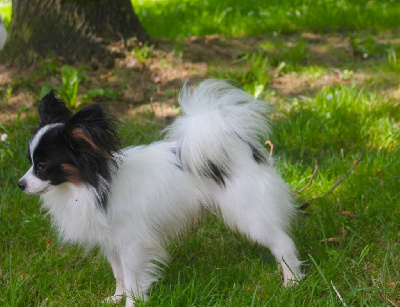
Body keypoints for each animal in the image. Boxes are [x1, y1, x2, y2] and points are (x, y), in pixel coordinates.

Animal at [18, 80, 300, 306]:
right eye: (30, 161)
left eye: (42, 165)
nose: (20, 184)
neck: (92, 185)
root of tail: (238, 148)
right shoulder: (112, 242)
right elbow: (119, 275)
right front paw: (116, 298)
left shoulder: (133, 244)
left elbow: (132, 279)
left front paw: (132, 303)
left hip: (249, 214)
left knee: (283, 243)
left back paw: (292, 282)